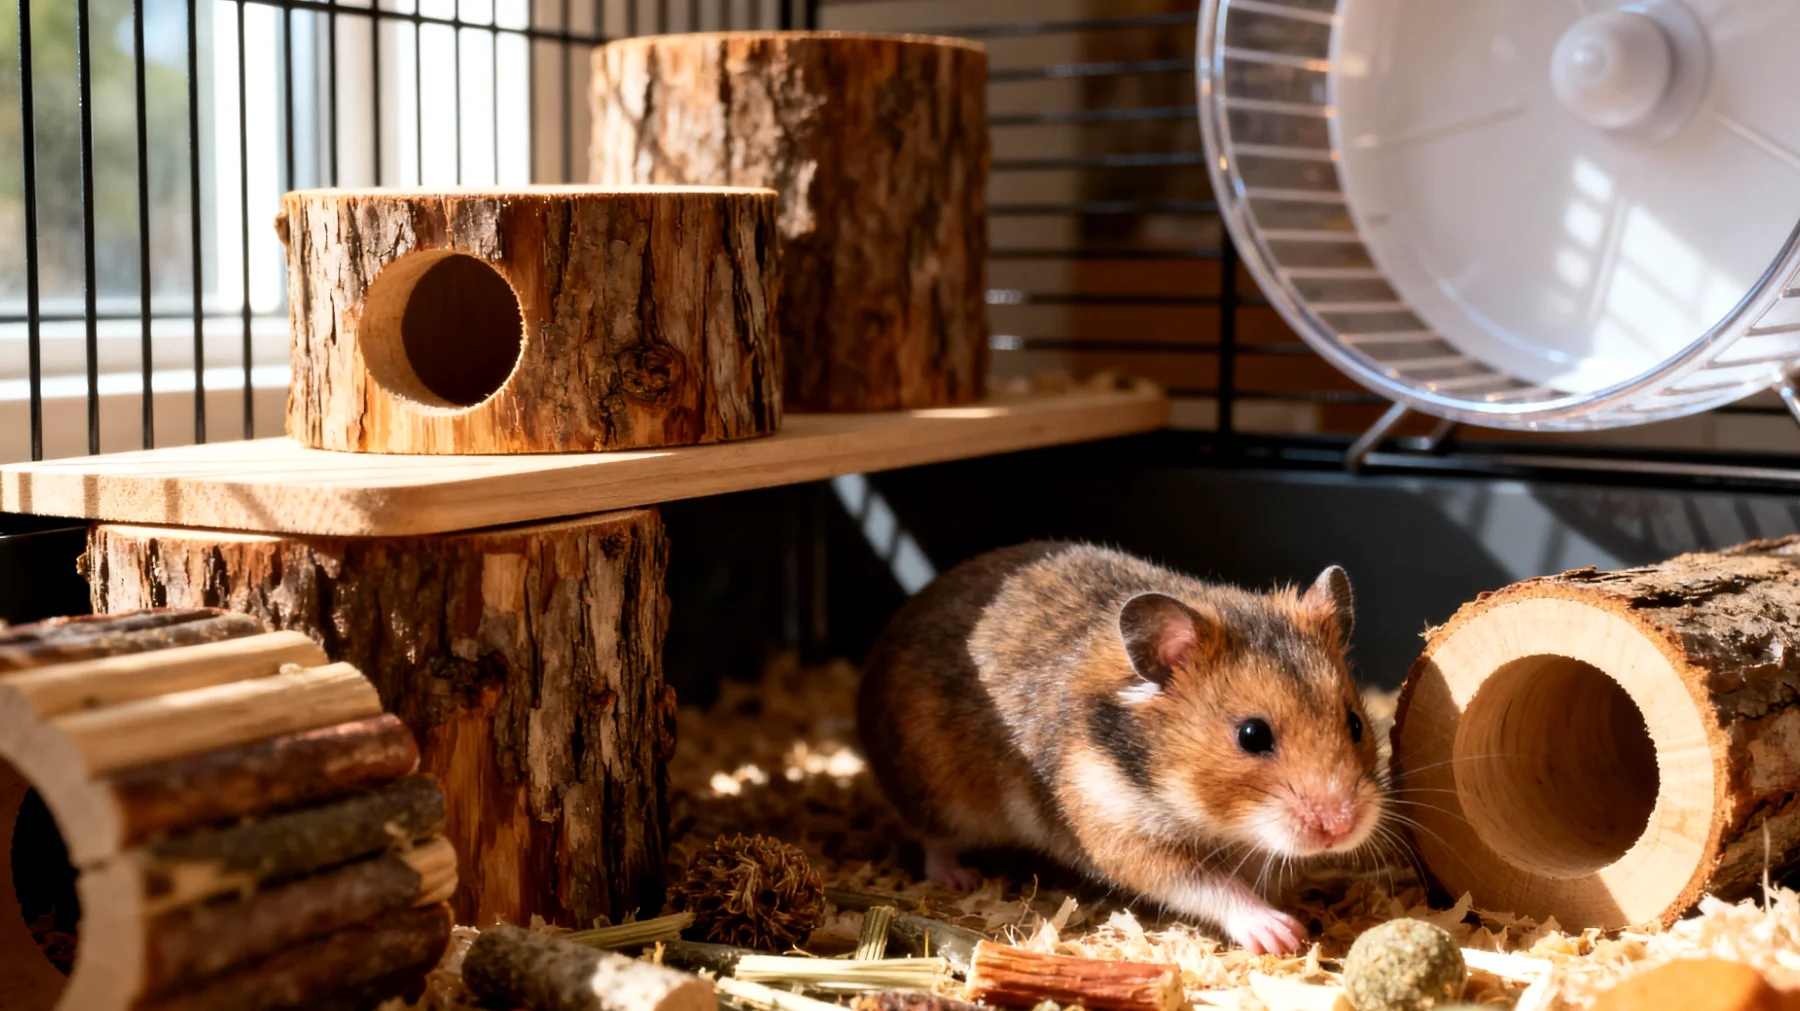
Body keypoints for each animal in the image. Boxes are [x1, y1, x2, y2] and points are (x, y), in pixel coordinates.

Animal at [856, 541, 1384, 955]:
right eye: (1252, 735)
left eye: (1355, 723)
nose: (1342, 827)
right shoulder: (1119, 834)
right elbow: (1210, 885)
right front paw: (1282, 932)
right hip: (935, 792)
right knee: (934, 841)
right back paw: (959, 878)